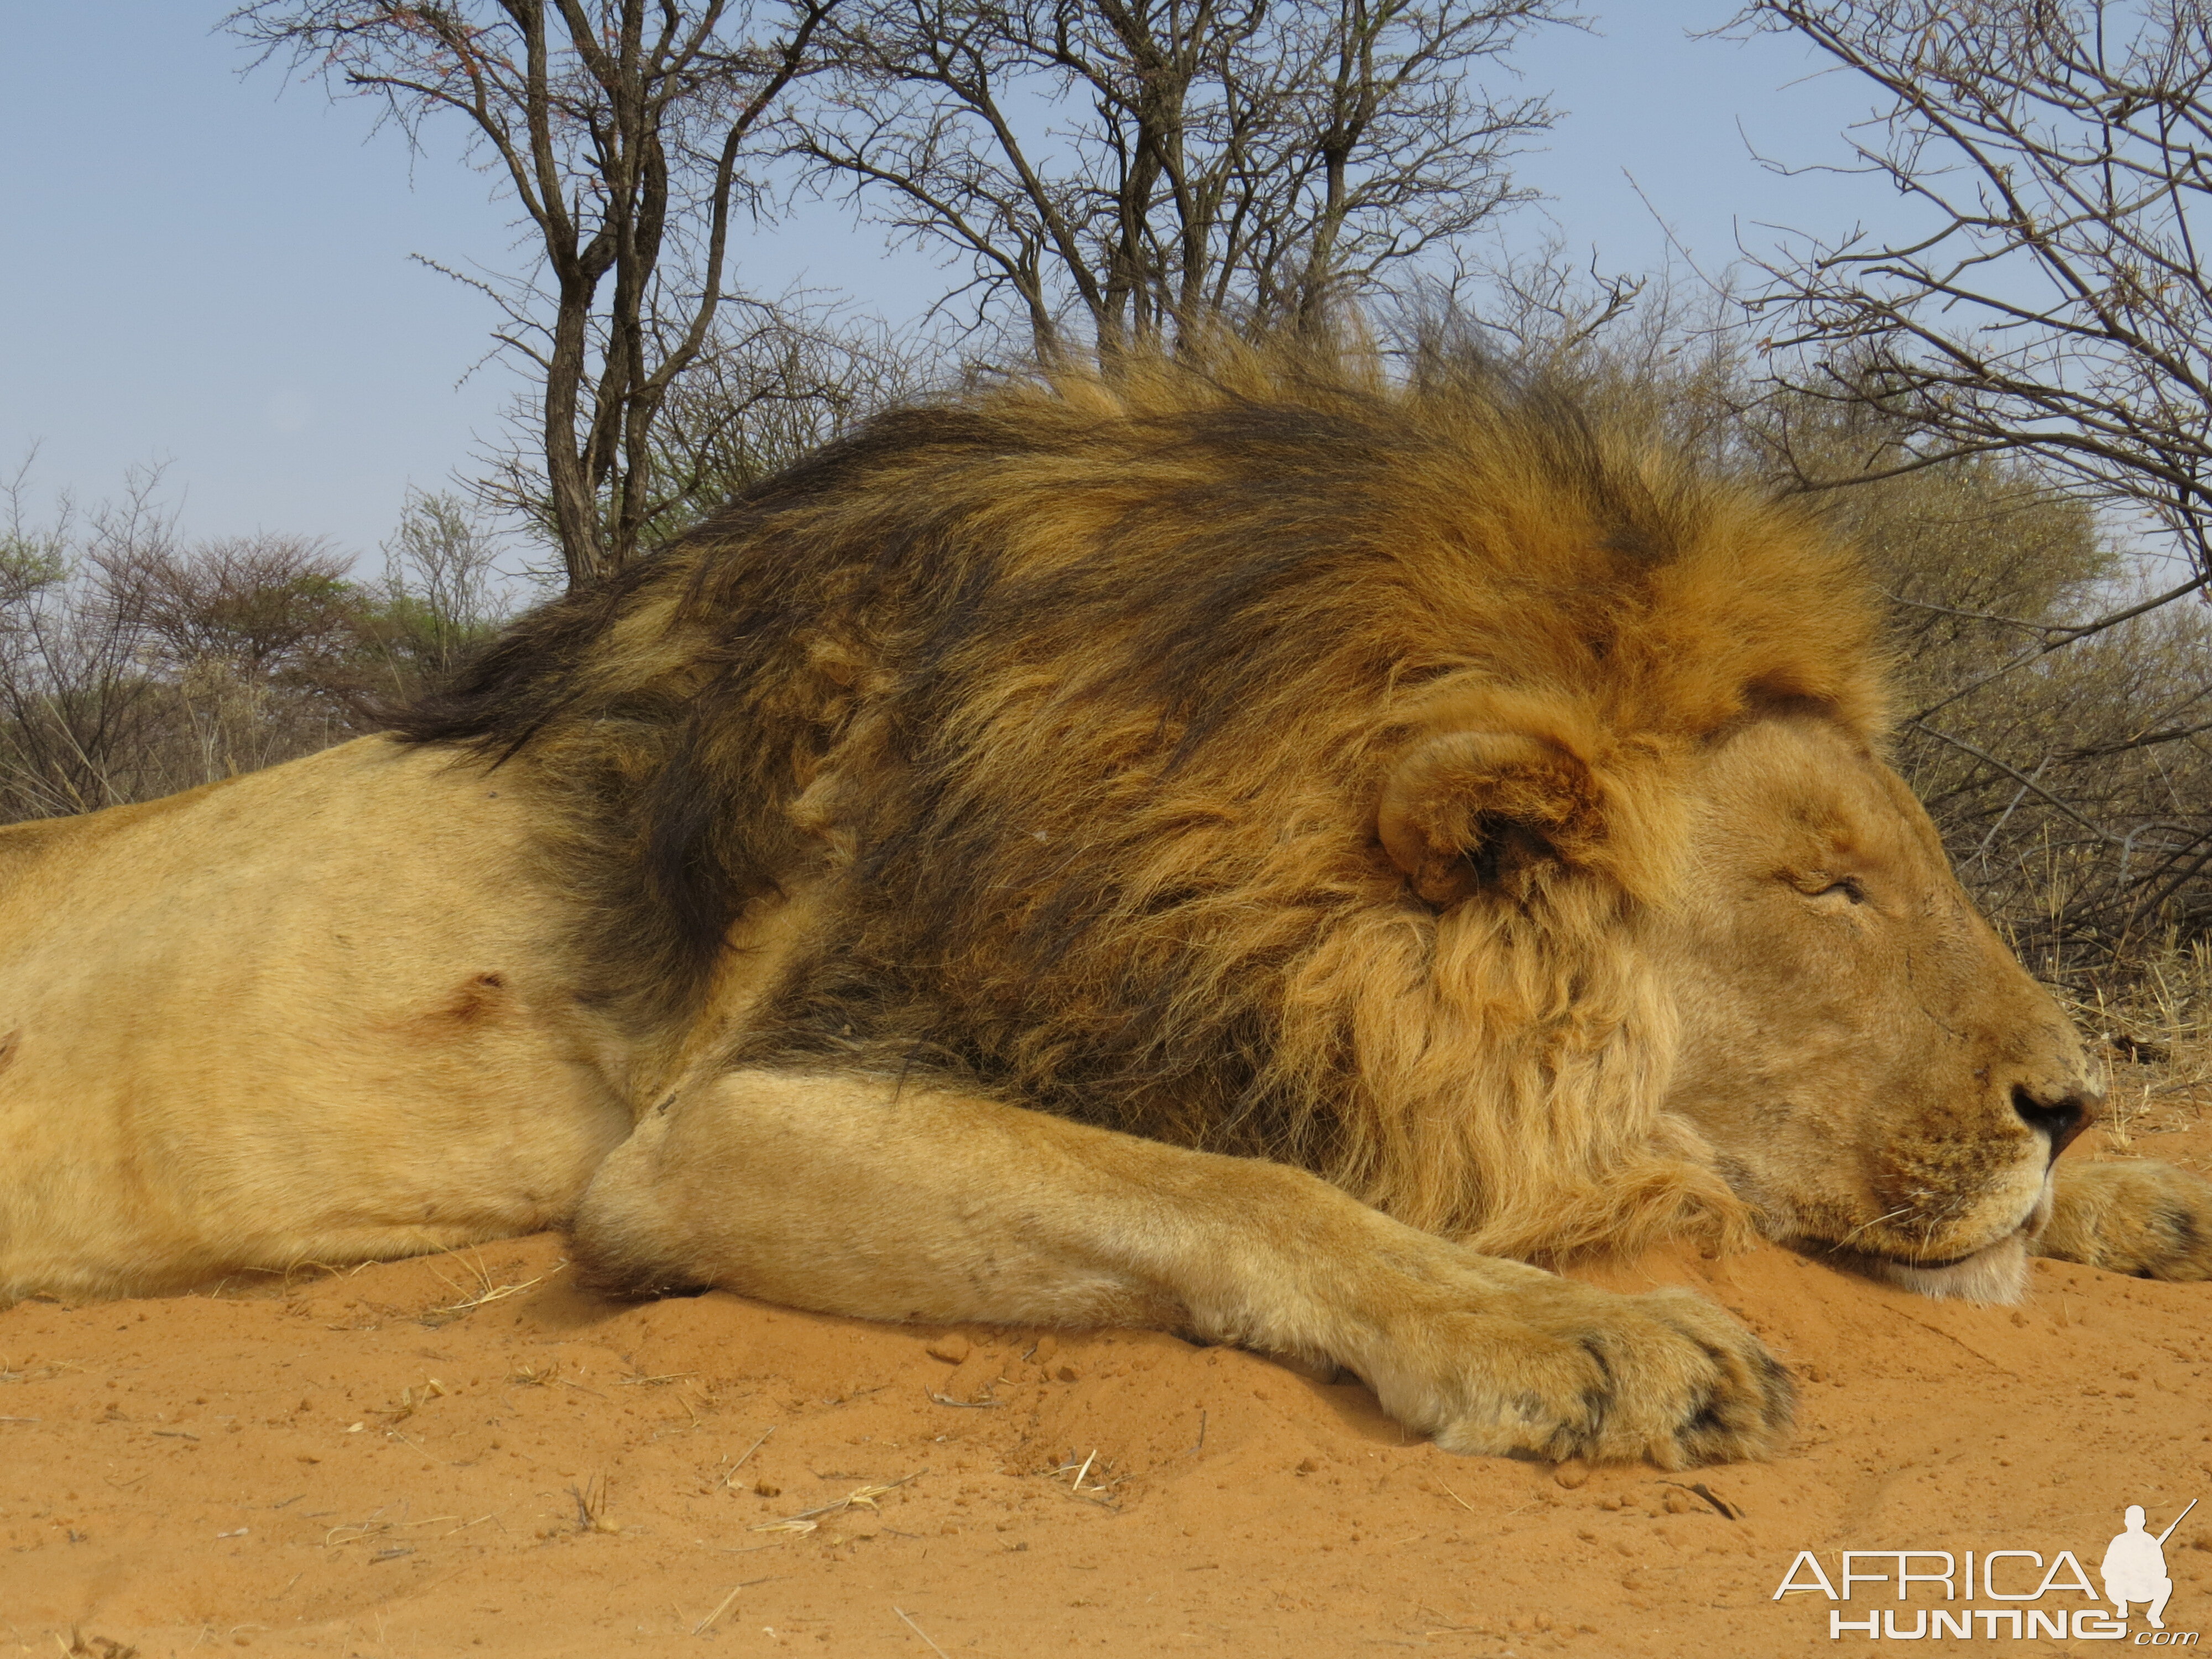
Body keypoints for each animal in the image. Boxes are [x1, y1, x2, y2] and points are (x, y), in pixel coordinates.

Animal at [4, 352, 2212, 1469]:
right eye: (1829, 885)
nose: (2067, 1098)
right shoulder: (712, 1125)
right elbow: (1239, 1185)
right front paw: (1576, 1329)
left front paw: (2142, 1189)